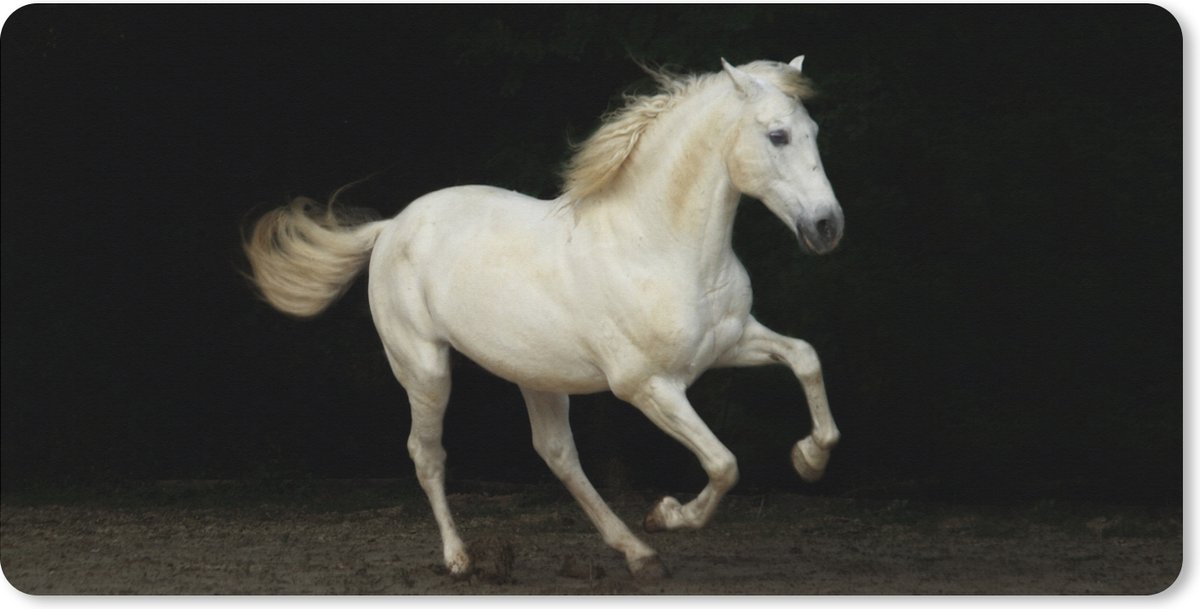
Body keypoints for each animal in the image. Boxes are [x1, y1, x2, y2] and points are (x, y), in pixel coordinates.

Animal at [244, 56, 844, 580]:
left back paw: (638, 555)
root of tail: (391, 226)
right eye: (777, 136)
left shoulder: (730, 343)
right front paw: (668, 514)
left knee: (557, 455)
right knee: (427, 454)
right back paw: (460, 559)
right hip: (424, 368)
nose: (826, 226)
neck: (656, 245)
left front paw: (809, 459)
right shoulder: (648, 386)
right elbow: (723, 463)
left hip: (537, 375)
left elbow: (806, 358)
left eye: (815, 130)